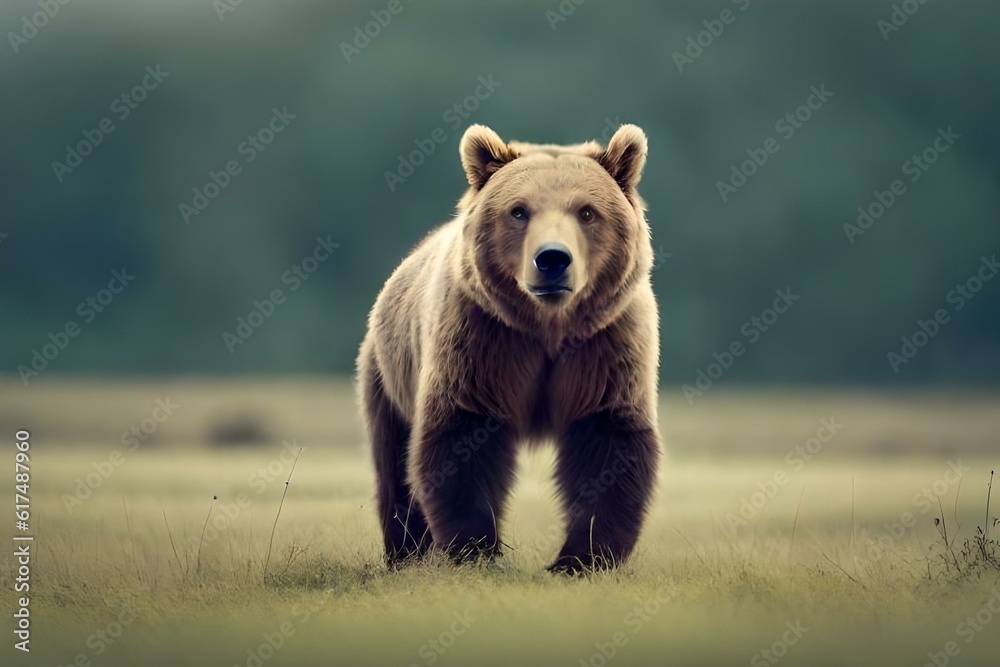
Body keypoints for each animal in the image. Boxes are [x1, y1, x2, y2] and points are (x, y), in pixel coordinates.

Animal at [357, 123, 660, 574]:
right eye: (519, 211)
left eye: (587, 212)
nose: (552, 259)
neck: (547, 329)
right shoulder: (482, 340)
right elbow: (463, 435)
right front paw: (474, 549)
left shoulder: (604, 346)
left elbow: (607, 441)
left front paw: (582, 558)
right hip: (388, 372)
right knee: (393, 460)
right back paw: (406, 552)